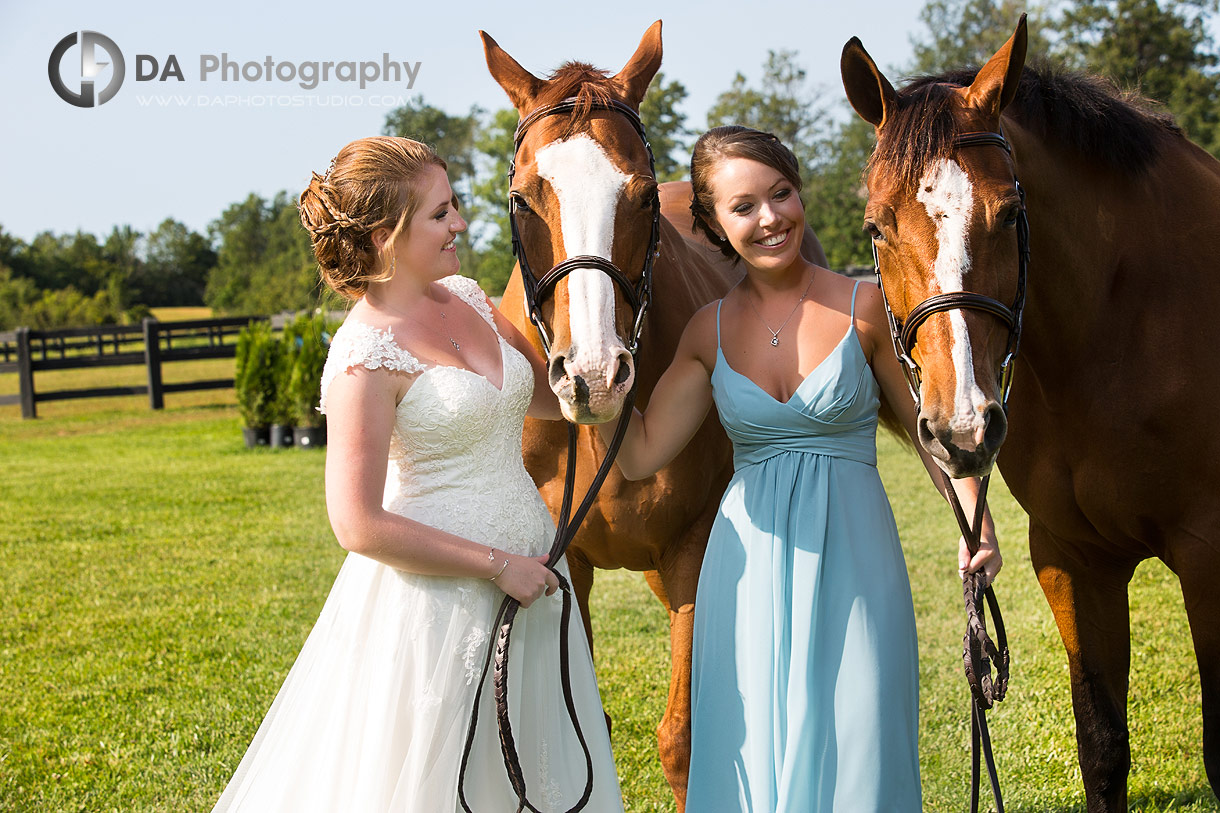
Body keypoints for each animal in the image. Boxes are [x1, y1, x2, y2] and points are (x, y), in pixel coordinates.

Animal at [483, 20, 829, 805]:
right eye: (522, 199)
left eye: (641, 198)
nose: (593, 376)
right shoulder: (563, 566)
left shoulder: (692, 551)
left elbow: (683, 739)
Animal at [839, 14, 1220, 810]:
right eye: (876, 226)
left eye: (1011, 213)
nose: (961, 428)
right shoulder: (1072, 560)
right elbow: (1102, 747)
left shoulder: (1210, 555)